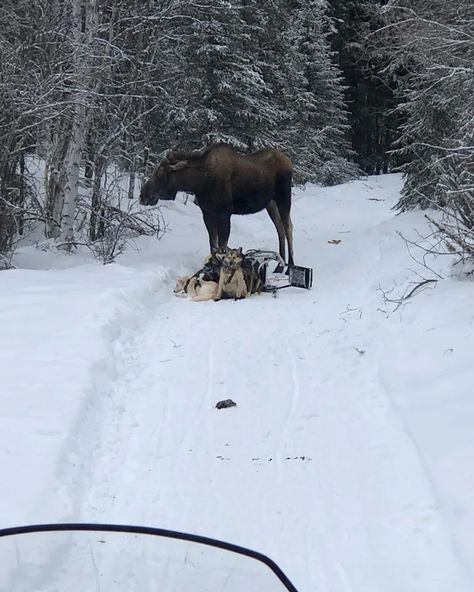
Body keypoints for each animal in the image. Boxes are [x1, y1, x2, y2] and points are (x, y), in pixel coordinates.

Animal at [139, 143, 294, 264]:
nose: (143, 195)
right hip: (271, 203)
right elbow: (213, 244)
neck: (199, 182)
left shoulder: (225, 213)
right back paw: (281, 264)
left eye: (160, 174)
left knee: (288, 228)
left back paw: (289, 266)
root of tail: (289, 161)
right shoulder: (207, 213)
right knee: (279, 228)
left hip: (284, 198)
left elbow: (222, 245)